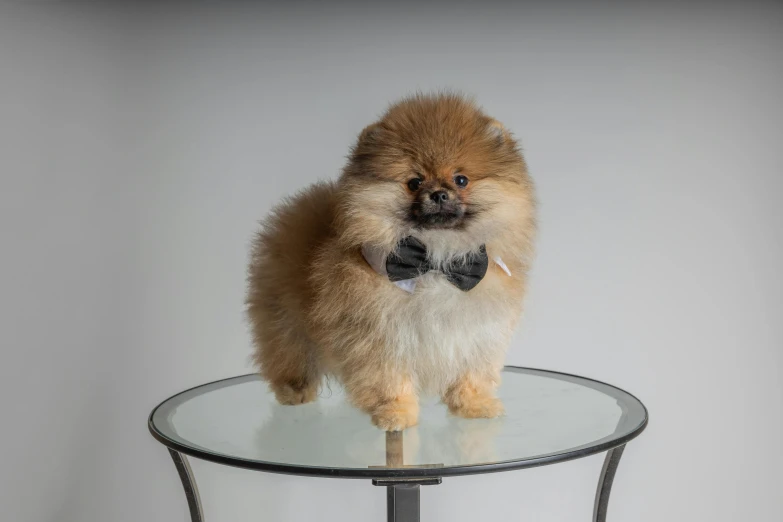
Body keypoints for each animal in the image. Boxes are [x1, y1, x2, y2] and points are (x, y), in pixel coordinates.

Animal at [248, 91, 536, 428]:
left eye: (461, 179)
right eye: (414, 182)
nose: (439, 194)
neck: (433, 260)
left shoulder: (476, 333)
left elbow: (472, 373)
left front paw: (474, 406)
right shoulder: (379, 337)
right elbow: (388, 380)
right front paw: (395, 413)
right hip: (285, 324)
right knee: (288, 354)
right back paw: (294, 392)